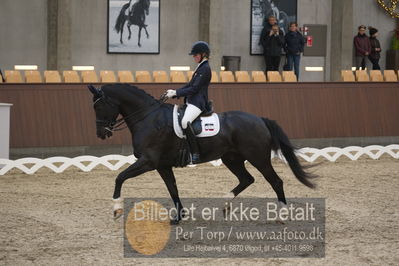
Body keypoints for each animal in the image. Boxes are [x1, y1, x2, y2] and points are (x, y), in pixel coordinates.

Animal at [87, 84, 316, 221]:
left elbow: (120, 177)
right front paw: (179, 217)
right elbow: (172, 188)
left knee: (275, 181)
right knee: (246, 179)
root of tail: (260, 119)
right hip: (231, 158)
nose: (101, 133)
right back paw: (224, 204)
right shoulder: (162, 165)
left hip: (258, 158)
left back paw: (282, 214)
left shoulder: (149, 161)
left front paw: (116, 208)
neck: (148, 117)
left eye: (100, 107)